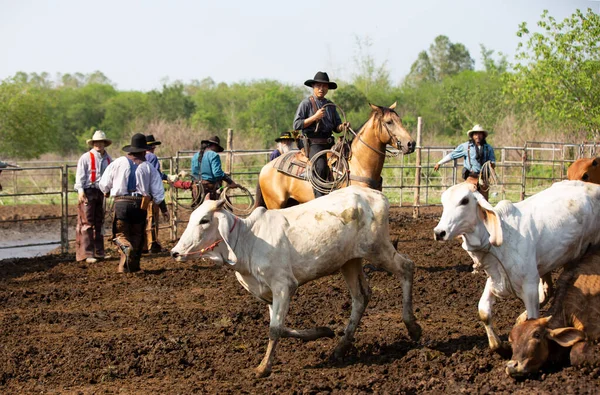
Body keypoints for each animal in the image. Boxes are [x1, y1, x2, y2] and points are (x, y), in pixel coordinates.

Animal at [171, 186, 420, 378]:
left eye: (204, 220)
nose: (175, 252)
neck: (247, 240)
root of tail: (376, 195)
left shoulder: (283, 286)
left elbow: (275, 329)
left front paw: (263, 368)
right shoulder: (268, 294)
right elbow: (281, 328)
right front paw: (321, 331)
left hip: (377, 249)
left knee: (406, 268)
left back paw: (413, 327)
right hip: (349, 262)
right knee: (361, 297)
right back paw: (340, 348)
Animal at [255, 103, 414, 210]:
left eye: (399, 120)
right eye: (389, 122)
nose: (411, 143)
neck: (359, 165)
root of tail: (265, 168)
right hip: (275, 203)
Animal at [434, 181, 596, 352]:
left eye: (464, 200)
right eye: (443, 202)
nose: (439, 232)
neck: (504, 240)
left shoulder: (530, 285)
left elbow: (533, 318)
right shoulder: (495, 278)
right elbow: (483, 311)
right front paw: (497, 345)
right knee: (548, 291)